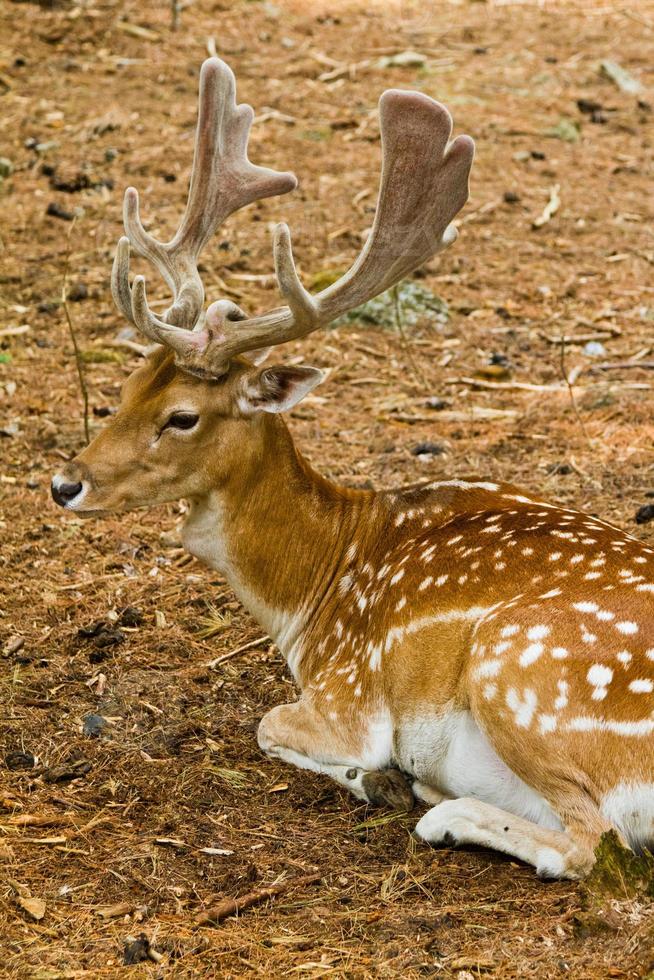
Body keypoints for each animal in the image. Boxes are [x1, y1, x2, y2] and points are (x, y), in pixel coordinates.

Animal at [52, 57, 654, 876]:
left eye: (182, 416)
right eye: (125, 387)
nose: (64, 482)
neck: (311, 595)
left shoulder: (348, 693)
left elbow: (272, 724)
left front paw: (375, 777)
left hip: (517, 669)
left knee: (591, 843)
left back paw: (435, 805)